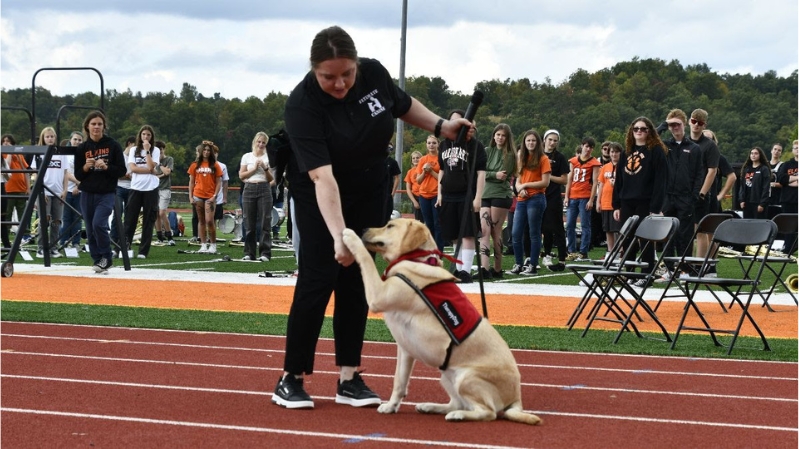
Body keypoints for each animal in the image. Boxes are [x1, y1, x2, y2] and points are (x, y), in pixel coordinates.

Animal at [344, 217, 544, 424]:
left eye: (390, 226)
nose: (364, 229)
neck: (415, 259)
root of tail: (516, 397)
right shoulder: (405, 349)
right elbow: (399, 382)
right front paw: (391, 406)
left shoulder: (378, 295)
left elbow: (366, 260)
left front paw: (350, 236)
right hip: (447, 377)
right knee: (458, 403)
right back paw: (430, 406)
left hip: (466, 378)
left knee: (488, 412)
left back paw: (457, 416)